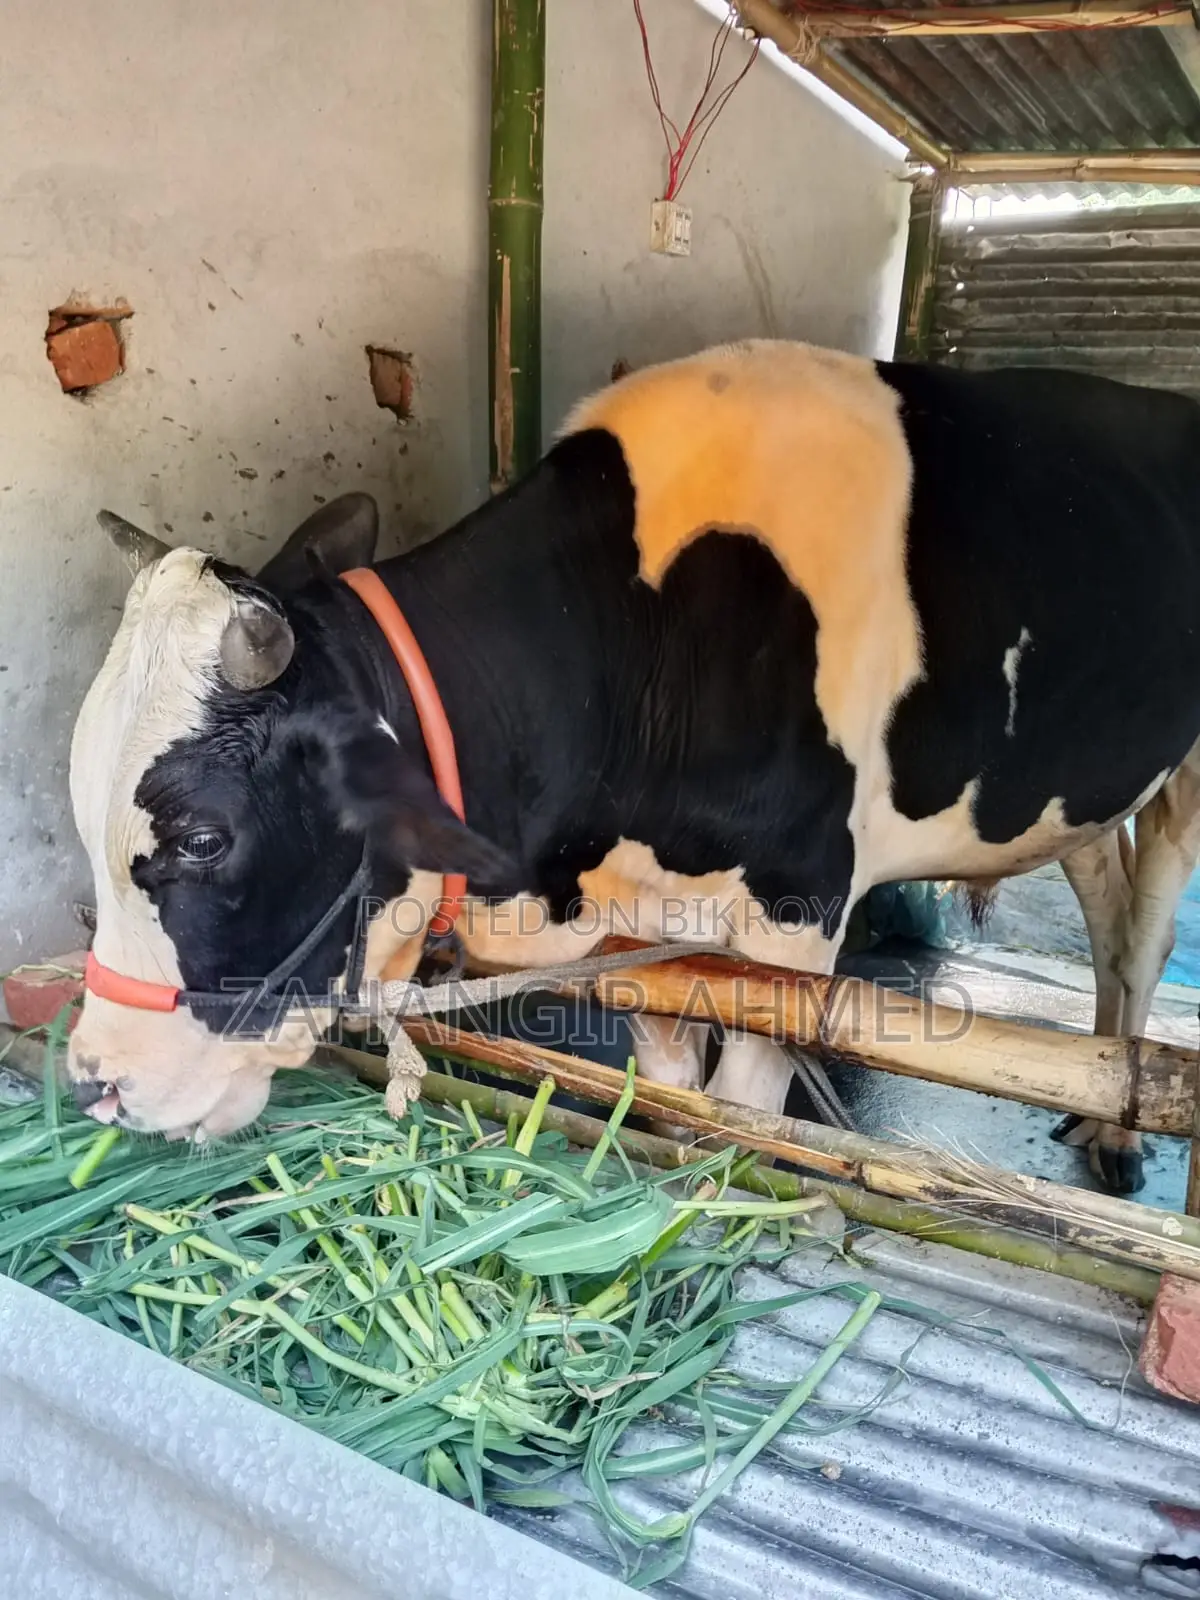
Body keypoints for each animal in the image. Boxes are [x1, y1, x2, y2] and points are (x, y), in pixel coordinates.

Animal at [66, 338, 1200, 1194]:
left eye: (204, 838)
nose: (93, 1081)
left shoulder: (796, 912)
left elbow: (748, 1114)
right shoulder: (645, 917)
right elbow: (673, 1086)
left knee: (1146, 931)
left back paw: (1119, 1129)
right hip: (1071, 788)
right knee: (1106, 913)